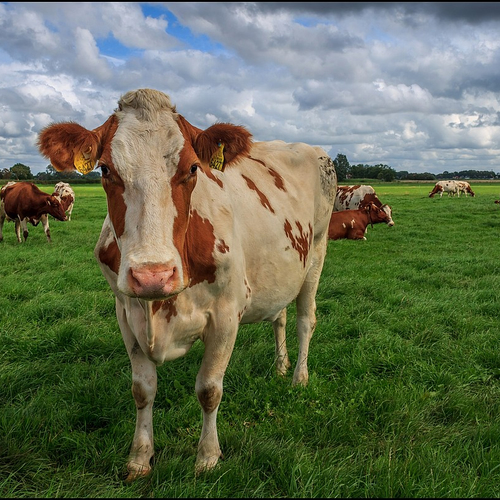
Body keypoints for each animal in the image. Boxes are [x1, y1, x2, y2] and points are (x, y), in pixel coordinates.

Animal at [37, 88, 338, 478]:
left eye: (193, 168)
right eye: (105, 169)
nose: (152, 274)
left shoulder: (225, 316)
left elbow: (209, 390)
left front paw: (207, 456)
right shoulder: (125, 312)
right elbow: (142, 389)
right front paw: (140, 457)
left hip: (316, 252)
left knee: (305, 318)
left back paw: (299, 377)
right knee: (281, 316)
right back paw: (280, 366)